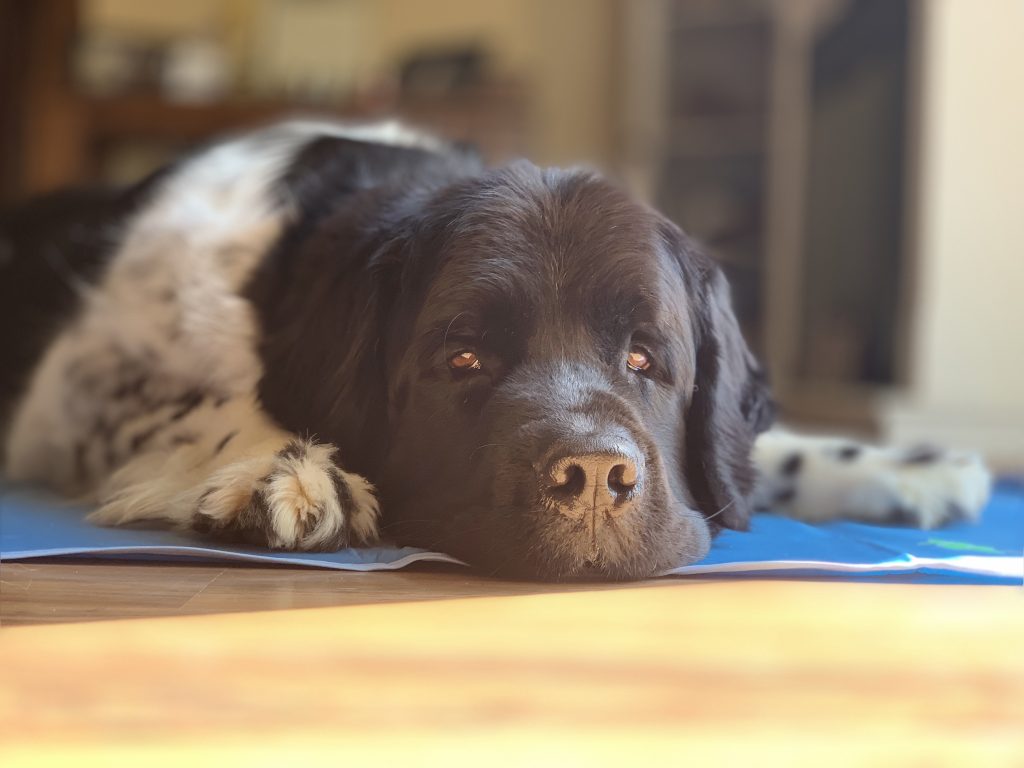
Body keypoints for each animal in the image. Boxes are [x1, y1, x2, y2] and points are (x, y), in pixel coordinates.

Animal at [0, 120, 991, 581]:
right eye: (463, 360)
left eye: (645, 359)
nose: (592, 478)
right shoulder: (73, 386)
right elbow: (204, 401)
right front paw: (283, 466)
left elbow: (753, 454)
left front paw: (899, 466)